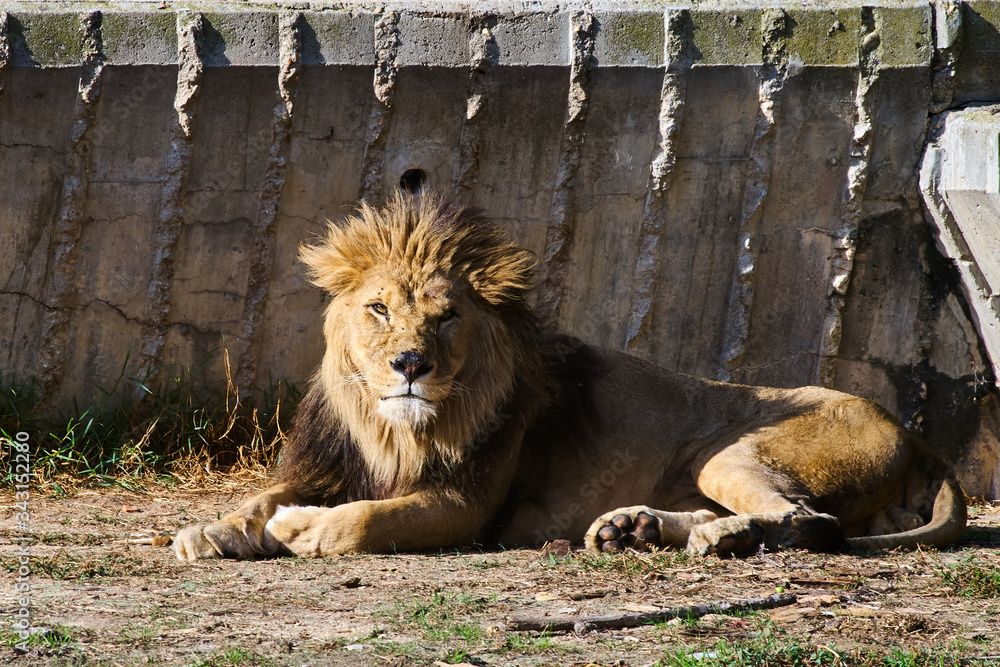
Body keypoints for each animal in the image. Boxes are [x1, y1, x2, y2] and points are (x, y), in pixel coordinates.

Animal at [174, 192, 966, 561]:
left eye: (447, 317)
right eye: (378, 308)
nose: (410, 363)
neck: (389, 429)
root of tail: (922, 439)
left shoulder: (467, 504)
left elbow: (366, 519)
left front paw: (300, 527)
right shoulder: (326, 461)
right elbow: (258, 495)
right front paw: (209, 530)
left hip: (733, 447)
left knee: (811, 520)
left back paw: (722, 540)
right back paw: (633, 528)